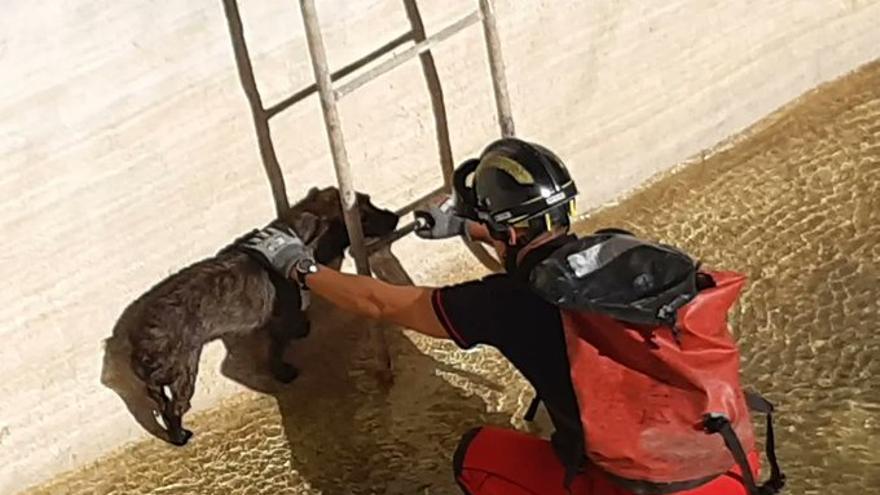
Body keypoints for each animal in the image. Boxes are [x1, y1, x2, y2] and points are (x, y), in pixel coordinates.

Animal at [126, 188, 396, 448]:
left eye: (368, 201)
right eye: (363, 216)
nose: (394, 217)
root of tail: (138, 340)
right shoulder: (280, 321)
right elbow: (278, 348)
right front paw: (284, 372)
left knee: (162, 403)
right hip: (183, 371)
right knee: (174, 408)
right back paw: (179, 437)